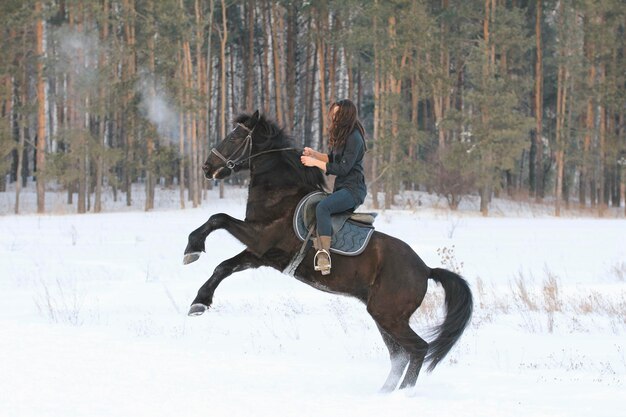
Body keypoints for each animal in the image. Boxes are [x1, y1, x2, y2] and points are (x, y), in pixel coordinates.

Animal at [183, 110, 470, 390]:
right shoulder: (260, 254)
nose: (207, 167)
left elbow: (218, 218)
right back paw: (385, 393)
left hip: (390, 316)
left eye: (234, 137)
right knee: (399, 355)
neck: (281, 193)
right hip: (383, 317)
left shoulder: (259, 237)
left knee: (418, 349)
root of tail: (426, 269)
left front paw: (192, 248)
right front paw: (199, 301)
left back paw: (403, 394)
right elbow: (223, 266)